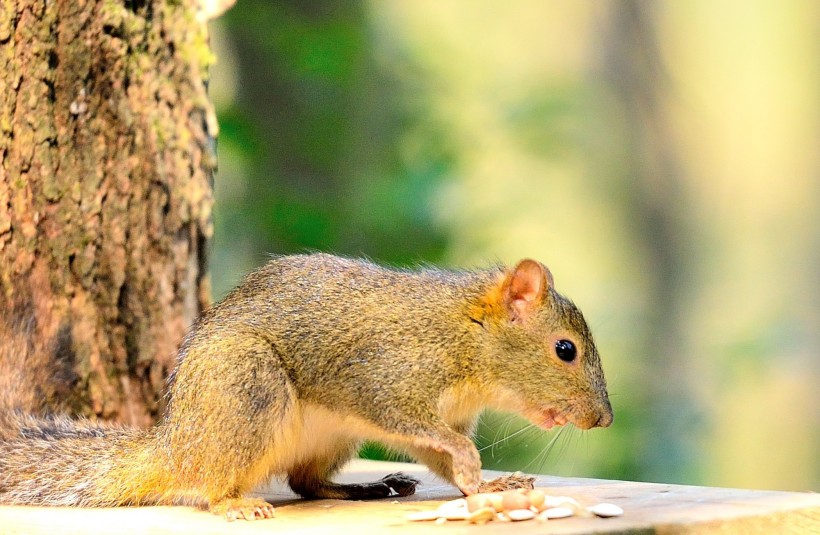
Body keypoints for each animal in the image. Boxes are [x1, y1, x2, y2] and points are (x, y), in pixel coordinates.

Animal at [0, 255, 608, 524]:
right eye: (565, 350)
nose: (603, 419)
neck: (467, 334)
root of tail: (173, 443)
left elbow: (438, 455)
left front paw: (488, 484)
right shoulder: (385, 378)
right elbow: (423, 428)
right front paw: (474, 464)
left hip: (328, 436)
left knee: (306, 482)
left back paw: (365, 488)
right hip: (246, 385)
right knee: (208, 484)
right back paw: (233, 503)